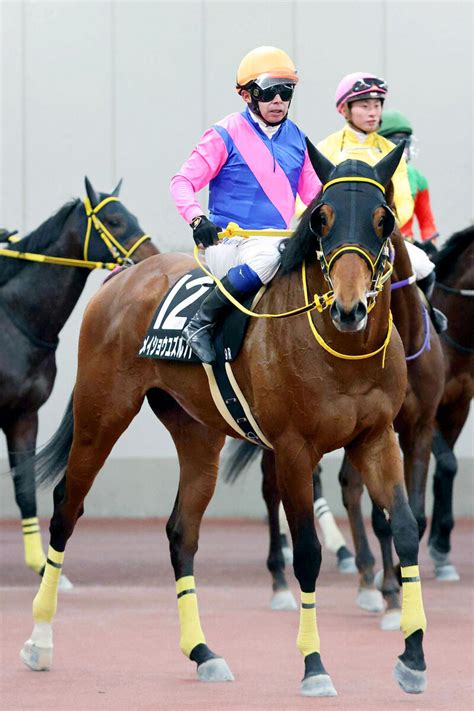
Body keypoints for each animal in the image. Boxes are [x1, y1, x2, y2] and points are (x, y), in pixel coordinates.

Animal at [0, 178, 159, 584]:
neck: (17, 318)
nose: (152, 256)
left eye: (133, 216)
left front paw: (42, 566)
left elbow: (24, 489)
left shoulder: (23, 415)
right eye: (115, 220)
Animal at [20, 143, 428, 696]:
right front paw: (314, 666)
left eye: (383, 220)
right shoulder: (294, 450)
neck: (342, 350)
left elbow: (405, 528)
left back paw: (202, 652)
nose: (349, 308)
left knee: (181, 533)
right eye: (321, 219)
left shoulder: (376, 438)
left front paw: (413, 656)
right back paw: (39, 640)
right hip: (100, 414)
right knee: (66, 508)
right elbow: (307, 552)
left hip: (198, 435)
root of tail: (126, 275)